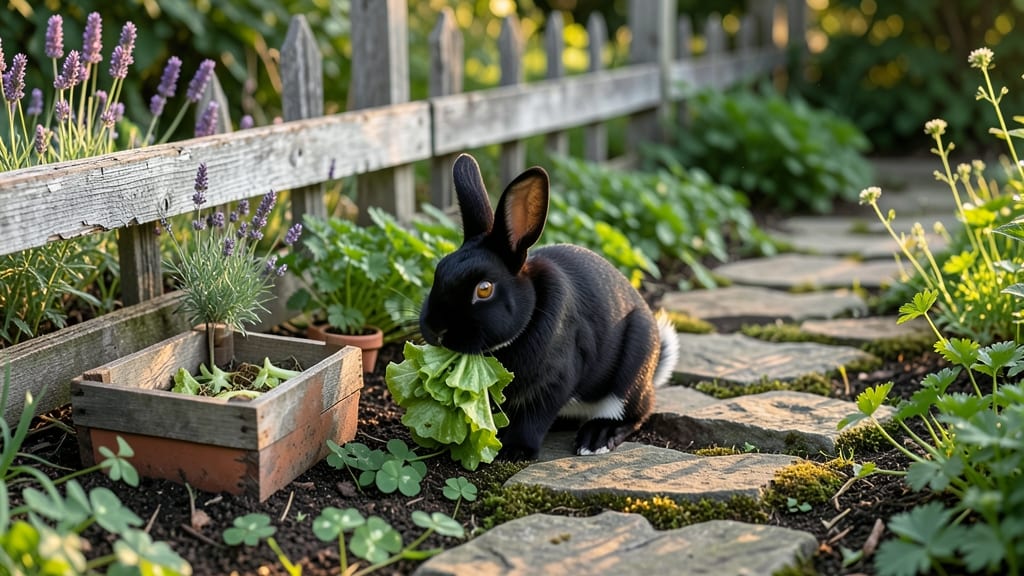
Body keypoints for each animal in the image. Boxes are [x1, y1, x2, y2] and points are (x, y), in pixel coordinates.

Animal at [419, 153, 680, 461]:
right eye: (439, 270)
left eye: (484, 289)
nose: (436, 330)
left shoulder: (555, 380)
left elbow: (533, 419)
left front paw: (515, 450)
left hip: (631, 370)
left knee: (635, 411)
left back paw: (595, 439)